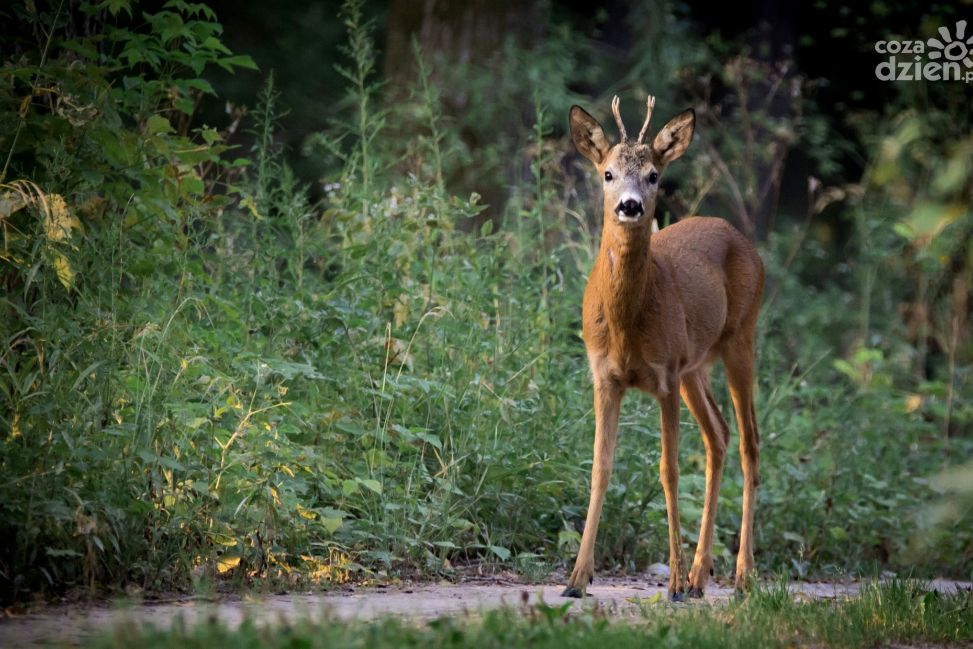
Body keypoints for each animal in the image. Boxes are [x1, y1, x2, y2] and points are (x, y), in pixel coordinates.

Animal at [564, 93, 764, 600]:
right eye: (607, 173)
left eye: (654, 174)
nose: (631, 206)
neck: (626, 325)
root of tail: (741, 237)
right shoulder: (604, 376)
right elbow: (600, 467)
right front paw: (576, 578)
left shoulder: (665, 374)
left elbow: (669, 471)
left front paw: (670, 581)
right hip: (697, 366)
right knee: (719, 436)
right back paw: (699, 575)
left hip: (741, 338)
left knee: (749, 442)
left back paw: (740, 574)